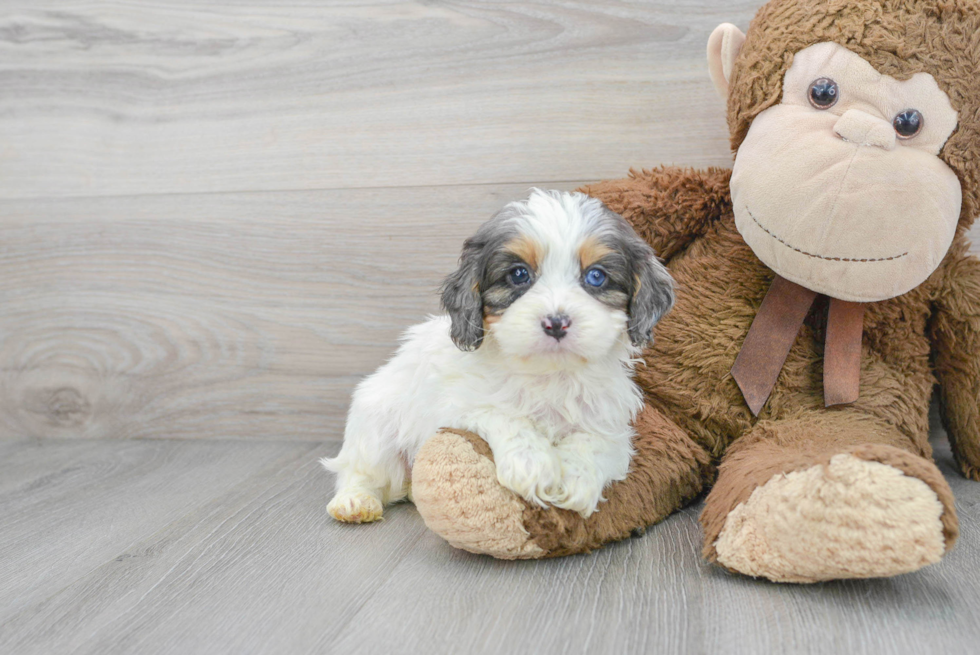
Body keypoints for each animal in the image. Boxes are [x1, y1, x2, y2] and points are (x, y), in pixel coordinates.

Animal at [322, 188, 672, 524]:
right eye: (518, 275)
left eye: (596, 276)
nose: (556, 322)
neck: (549, 373)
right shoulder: (457, 404)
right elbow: (503, 414)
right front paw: (532, 463)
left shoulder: (609, 422)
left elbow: (595, 442)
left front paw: (577, 477)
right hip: (376, 424)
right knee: (361, 471)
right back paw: (355, 501)